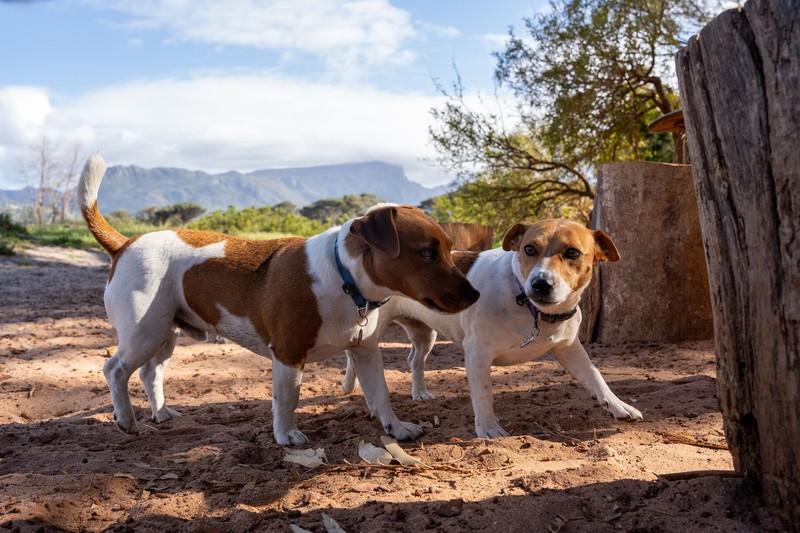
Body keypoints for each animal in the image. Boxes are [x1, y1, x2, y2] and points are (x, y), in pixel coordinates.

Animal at [79, 153, 482, 444]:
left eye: (449, 248)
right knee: (114, 370)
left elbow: (381, 395)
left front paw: (396, 429)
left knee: (151, 373)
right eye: (427, 253)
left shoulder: (366, 353)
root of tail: (126, 242)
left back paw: (161, 413)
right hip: (144, 333)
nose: (475, 293)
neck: (343, 278)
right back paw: (126, 420)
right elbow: (288, 399)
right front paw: (287, 436)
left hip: (166, 333)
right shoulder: (288, 356)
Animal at [344, 218, 644, 438]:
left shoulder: (569, 348)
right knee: (358, 362)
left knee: (414, 360)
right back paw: (363, 396)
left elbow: (596, 376)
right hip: (370, 332)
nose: (540, 284)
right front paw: (488, 429)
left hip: (424, 334)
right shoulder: (478, 353)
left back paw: (419, 393)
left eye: (573, 253)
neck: (527, 304)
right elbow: (484, 394)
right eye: (529, 249)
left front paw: (618, 405)